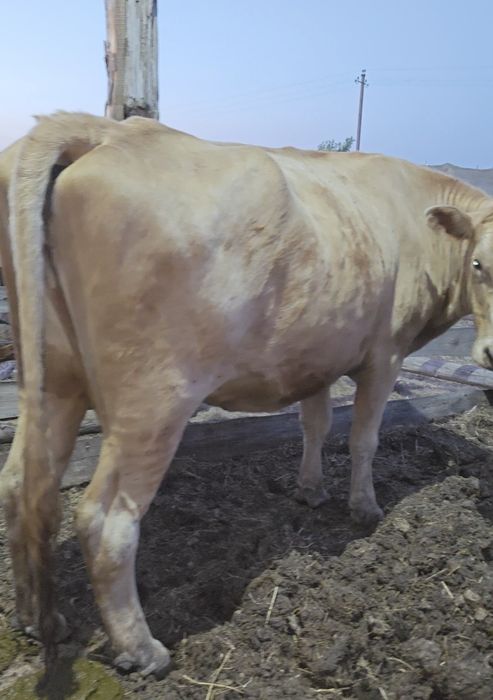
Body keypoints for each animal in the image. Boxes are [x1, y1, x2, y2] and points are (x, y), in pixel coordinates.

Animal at [1, 111, 493, 677]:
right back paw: (142, 649)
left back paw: (38, 618)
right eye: (479, 264)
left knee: (20, 483)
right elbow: (364, 438)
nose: (492, 352)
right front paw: (365, 508)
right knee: (107, 521)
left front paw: (310, 489)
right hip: (153, 400)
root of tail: (110, 130)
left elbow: (316, 424)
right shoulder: (386, 354)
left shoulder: (317, 353)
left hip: (52, 378)